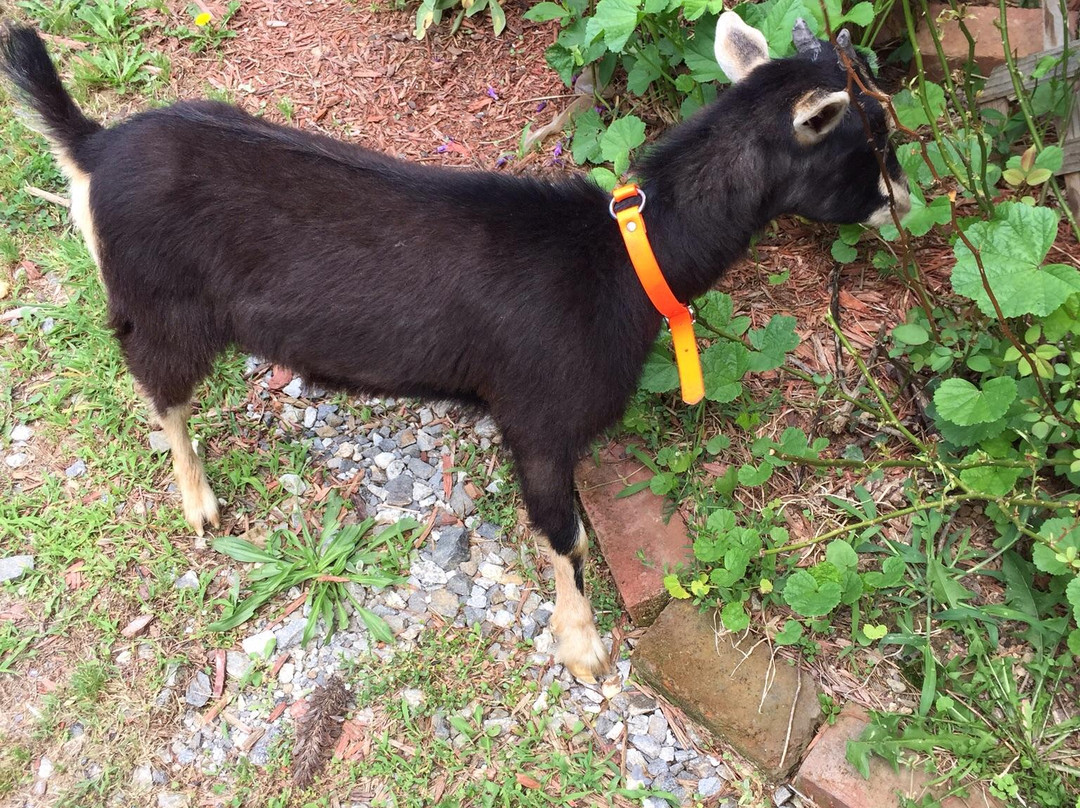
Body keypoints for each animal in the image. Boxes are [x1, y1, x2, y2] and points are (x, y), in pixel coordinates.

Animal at [1, 14, 909, 682]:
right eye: (868, 140)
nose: (906, 200)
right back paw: (199, 502)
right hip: (160, 304)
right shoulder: (537, 416)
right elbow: (567, 536)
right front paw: (583, 649)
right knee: (161, 391)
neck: (622, 258)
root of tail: (93, 146)